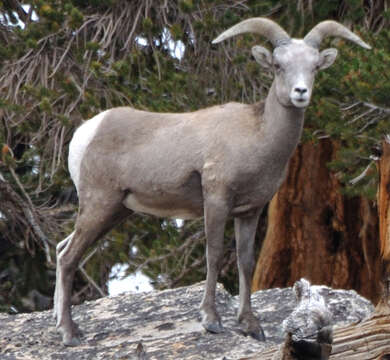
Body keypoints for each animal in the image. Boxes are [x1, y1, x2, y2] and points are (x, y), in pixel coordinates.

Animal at [53, 17, 370, 346]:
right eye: (278, 65)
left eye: (314, 66)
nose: (300, 92)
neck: (259, 136)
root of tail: (86, 133)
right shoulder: (217, 200)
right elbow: (214, 255)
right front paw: (211, 321)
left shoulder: (250, 211)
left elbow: (245, 261)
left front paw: (251, 326)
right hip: (100, 205)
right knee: (68, 258)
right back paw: (69, 334)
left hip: (115, 211)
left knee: (62, 250)